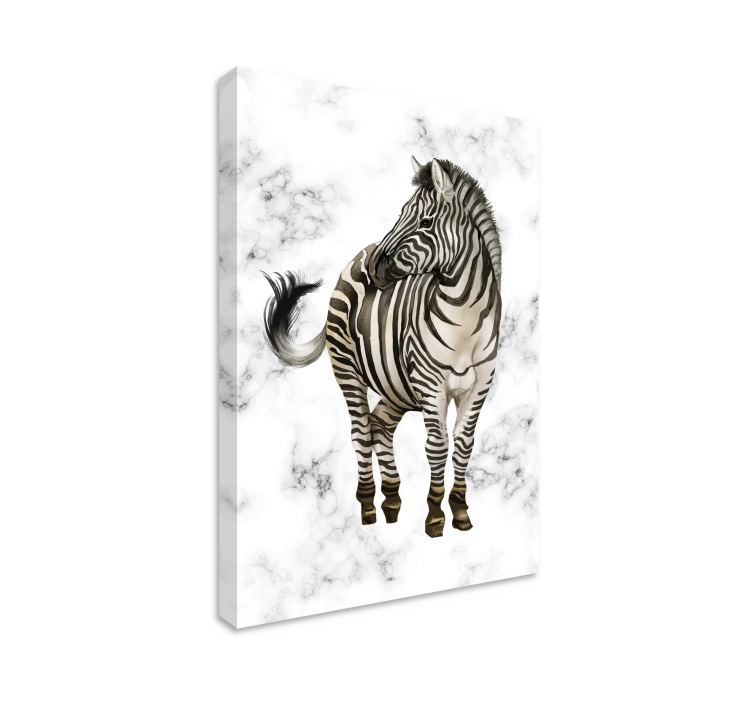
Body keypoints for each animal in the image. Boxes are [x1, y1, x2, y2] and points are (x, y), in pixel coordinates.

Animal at [262, 157, 502, 538]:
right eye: (401, 212)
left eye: (426, 222)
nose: (376, 265)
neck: (465, 319)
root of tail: (355, 258)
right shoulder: (430, 386)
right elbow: (437, 447)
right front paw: (435, 516)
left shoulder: (479, 387)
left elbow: (463, 446)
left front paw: (460, 510)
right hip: (350, 369)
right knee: (361, 431)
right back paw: (367, 506)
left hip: (398, 385)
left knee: (380, 426)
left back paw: (391, 498)